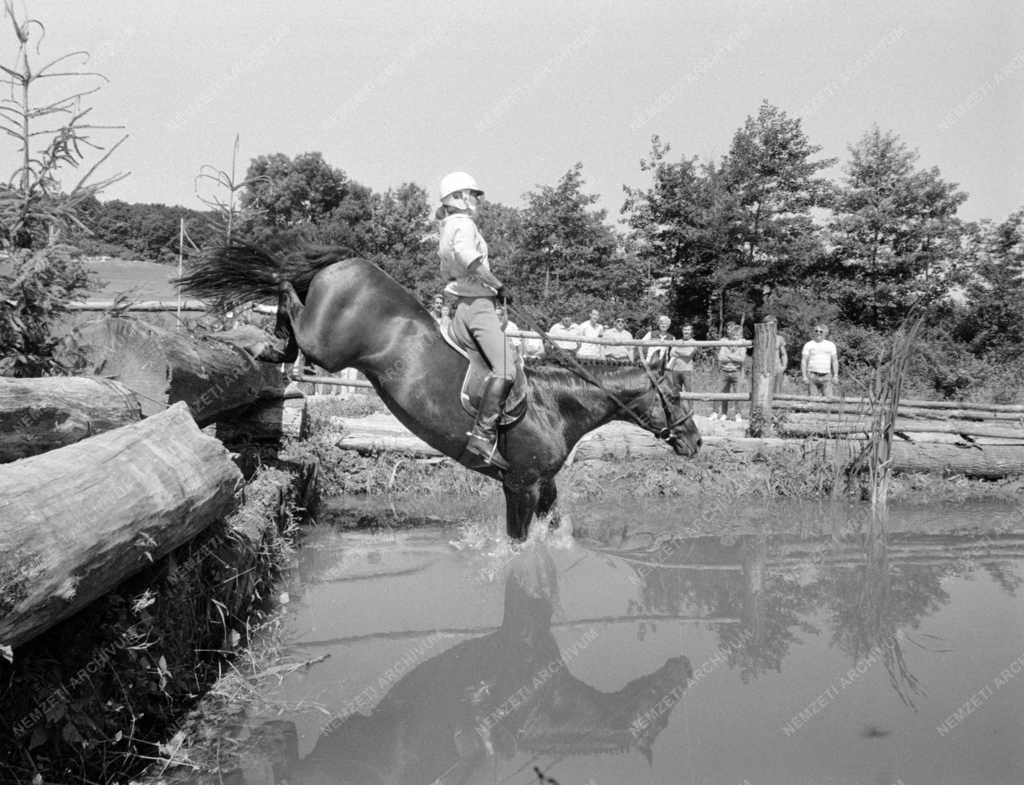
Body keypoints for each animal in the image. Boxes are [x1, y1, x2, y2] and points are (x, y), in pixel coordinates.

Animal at [178, 245, 704, 540]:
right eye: (676, 396)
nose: (695, 442)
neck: (555, 406)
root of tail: (347, 262)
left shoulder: (545, 485)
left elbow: (551, 530)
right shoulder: (522, 485)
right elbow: (518, 542)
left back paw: (268, 349)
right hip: (328, 348)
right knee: (286, 292)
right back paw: (270, 333)